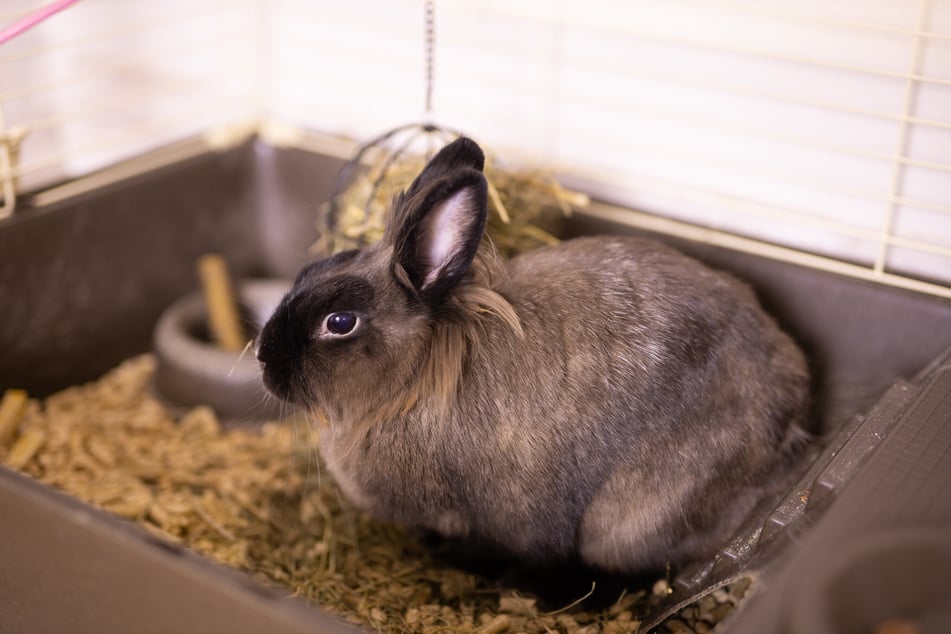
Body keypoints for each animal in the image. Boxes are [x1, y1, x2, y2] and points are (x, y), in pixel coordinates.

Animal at [255, 137, 812, 572]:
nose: (263, 358)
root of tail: (791, 423)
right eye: (311, 271)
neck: (411, 384)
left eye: (339, 323)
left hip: (630, 521)